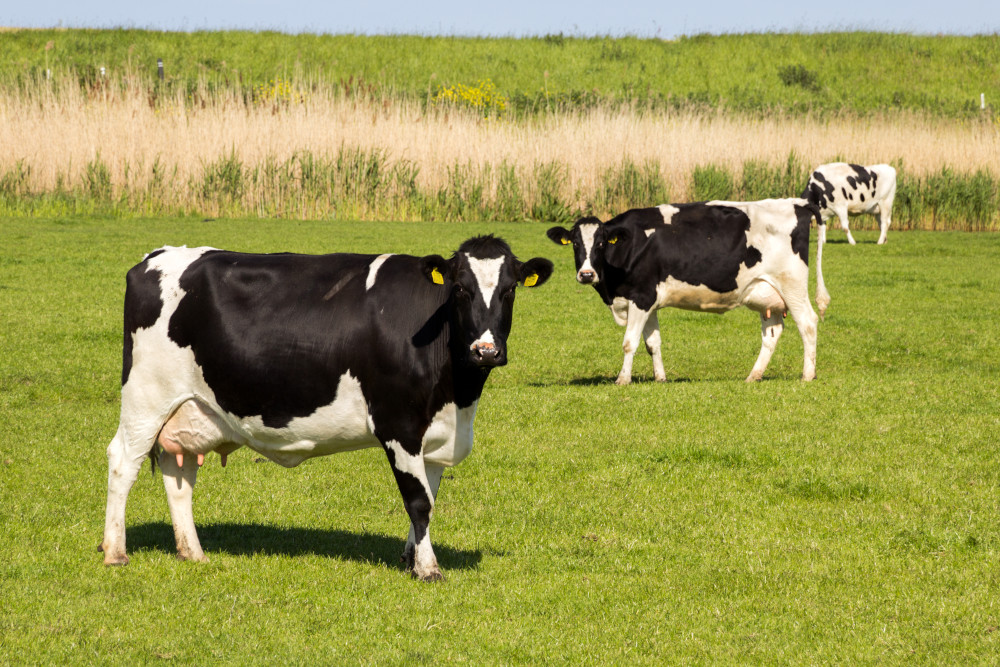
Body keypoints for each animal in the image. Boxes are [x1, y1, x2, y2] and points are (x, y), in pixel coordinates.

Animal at [99, 236, 553, 581]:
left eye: (510, 290)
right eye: (460, 289)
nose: (485, 351)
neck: (458, 394)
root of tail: (158, 255)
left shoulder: (436, 434)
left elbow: (428, 496)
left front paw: (410, 558)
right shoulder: (399, 424)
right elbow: (418, 501)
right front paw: (428, 569)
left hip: (190, 408)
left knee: (179, 474)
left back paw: (192, 551)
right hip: (146, 397)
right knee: (123, 461)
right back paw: (115, 552)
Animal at [547, 200, 828, 385]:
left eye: (602, 243)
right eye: (575, 243)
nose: (586, 274)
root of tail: (796, 203)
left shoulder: (641, 297)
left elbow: (630, 343)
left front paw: (622, 379)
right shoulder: (648, 301)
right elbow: (653, 343)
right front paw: (660, 378)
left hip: (791, 285)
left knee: (808, 323)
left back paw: (807, 375)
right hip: (766, 293)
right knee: (772, 334)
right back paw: (753, 376)